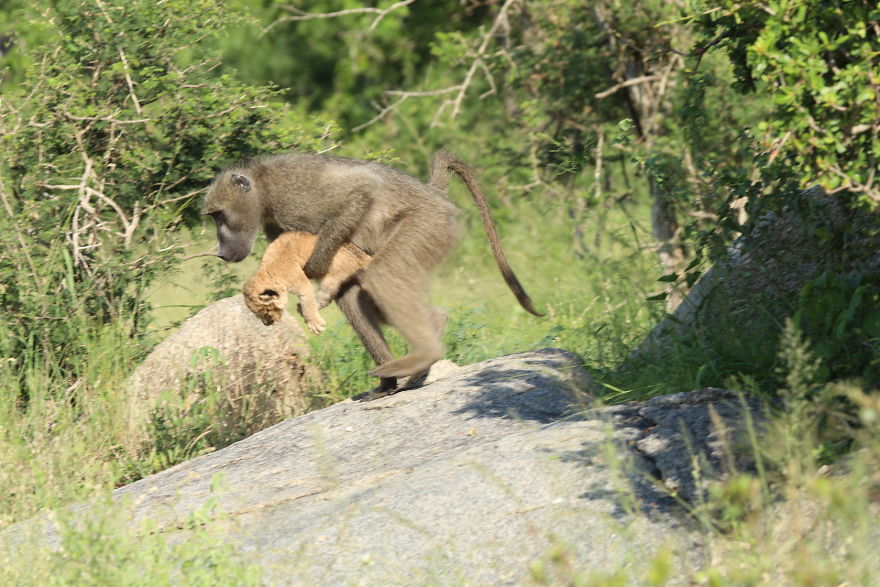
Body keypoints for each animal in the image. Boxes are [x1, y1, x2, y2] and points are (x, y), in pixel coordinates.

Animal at [242, 231, 371, 333]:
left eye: (266, 312)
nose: (267, 324)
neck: (267, 272)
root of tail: (363, 255)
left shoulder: (302, 283)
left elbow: (308, 304)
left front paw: (315, 326)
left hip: (333, 275)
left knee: (324, 297)